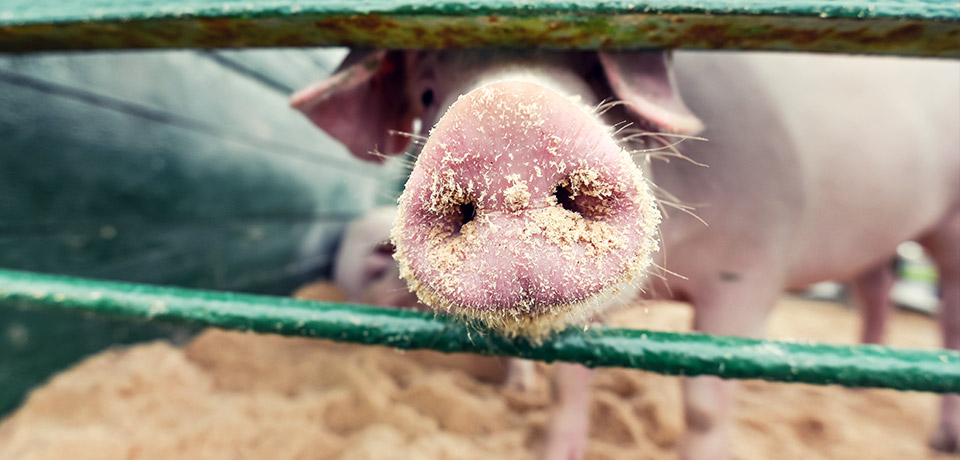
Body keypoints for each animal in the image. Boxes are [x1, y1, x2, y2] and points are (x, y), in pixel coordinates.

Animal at [292, 48, 960, 458]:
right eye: (428, 92)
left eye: (599, 73)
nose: (506, 114)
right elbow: (569, 387)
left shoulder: (752, 265)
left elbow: (705, 405)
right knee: (876, 286)